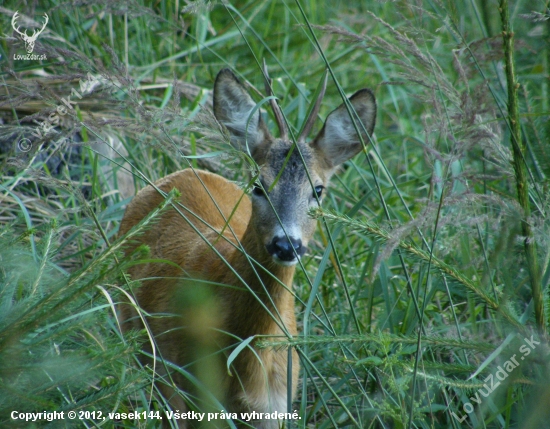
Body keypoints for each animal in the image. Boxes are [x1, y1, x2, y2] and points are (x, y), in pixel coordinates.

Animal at [120, 68, 378, 426]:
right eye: (259, 185)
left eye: (318, 190)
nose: (286, 244)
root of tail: (183, 172)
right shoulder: (184, 390)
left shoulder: (278, 403)